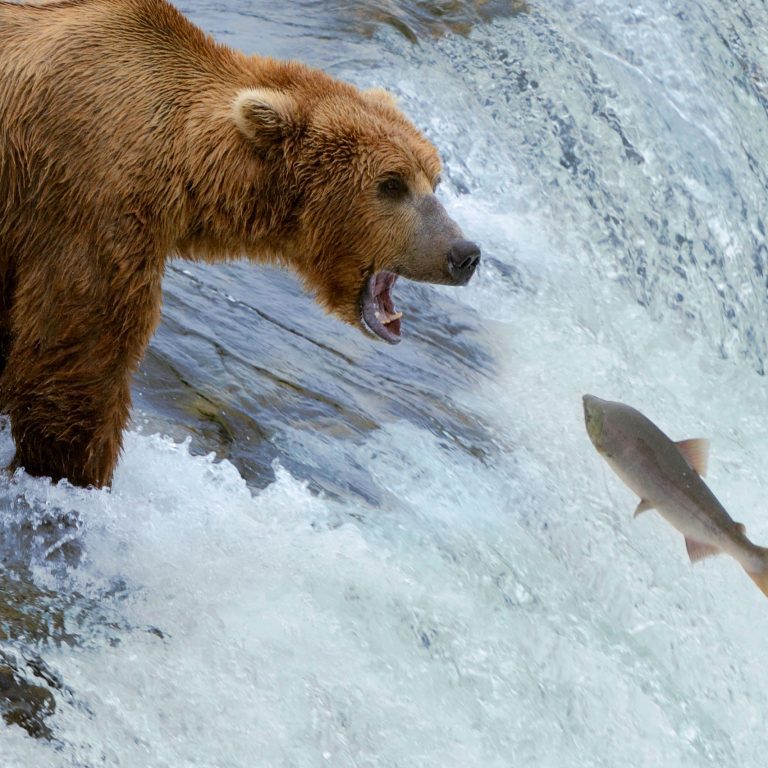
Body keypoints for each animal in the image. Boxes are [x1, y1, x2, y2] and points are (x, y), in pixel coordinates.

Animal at [0, 1, 480, 486]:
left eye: (434, 178)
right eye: (392, 184)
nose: (464, 253)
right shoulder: (86, 195)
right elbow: (76, 357)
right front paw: (70, 471)